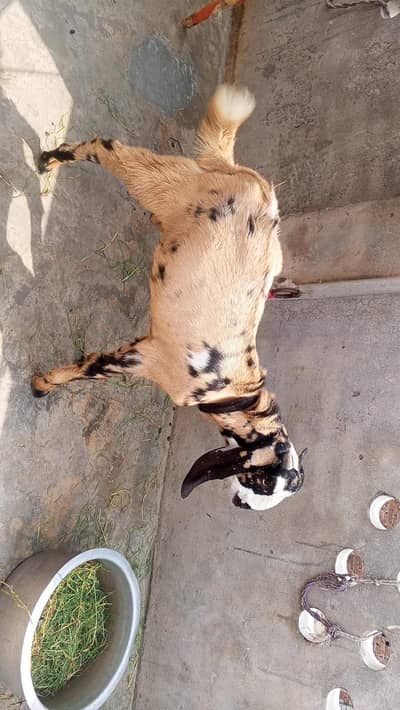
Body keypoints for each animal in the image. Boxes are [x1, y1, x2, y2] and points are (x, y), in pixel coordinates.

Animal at [32, 84, 306, 511]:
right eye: (261, 482)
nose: (239, 503)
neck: (232, 391)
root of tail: (242, 175)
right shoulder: (144, 357)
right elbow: (89, 367)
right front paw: (41, 385)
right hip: (162, 184)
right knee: (107, 148)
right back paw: (49, 160)